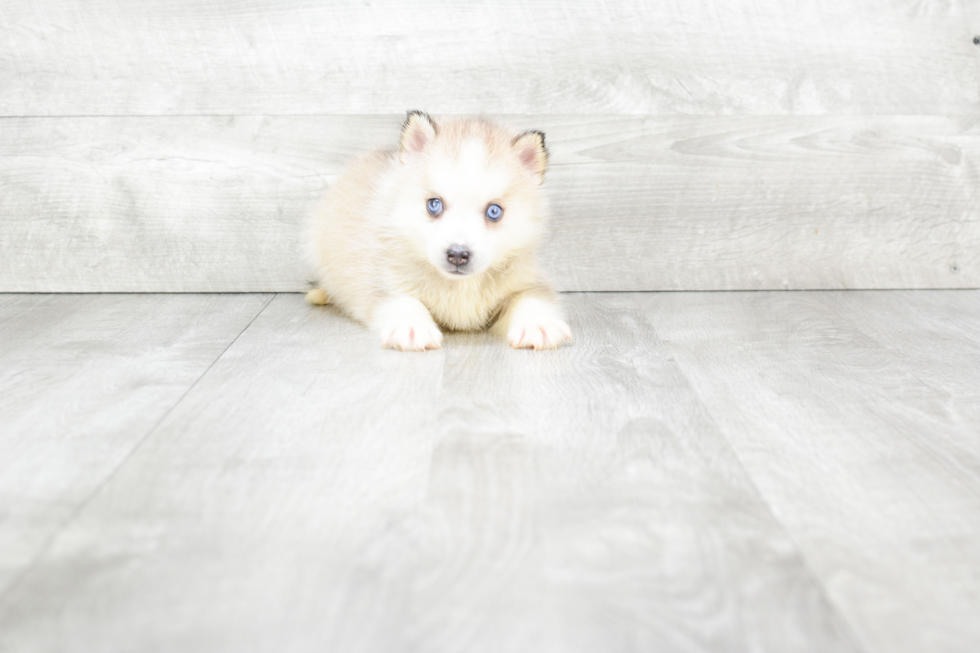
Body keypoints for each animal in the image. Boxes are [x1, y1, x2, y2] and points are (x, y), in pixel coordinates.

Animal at [302, 111, 572, 352]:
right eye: (434, 204)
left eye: (494, 211)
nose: (458, 254)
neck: (460, 286)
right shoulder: (383, 282)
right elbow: (403, 300)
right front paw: (411, 326)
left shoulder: (528, 279)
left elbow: (531, 298)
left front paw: (539, 325)